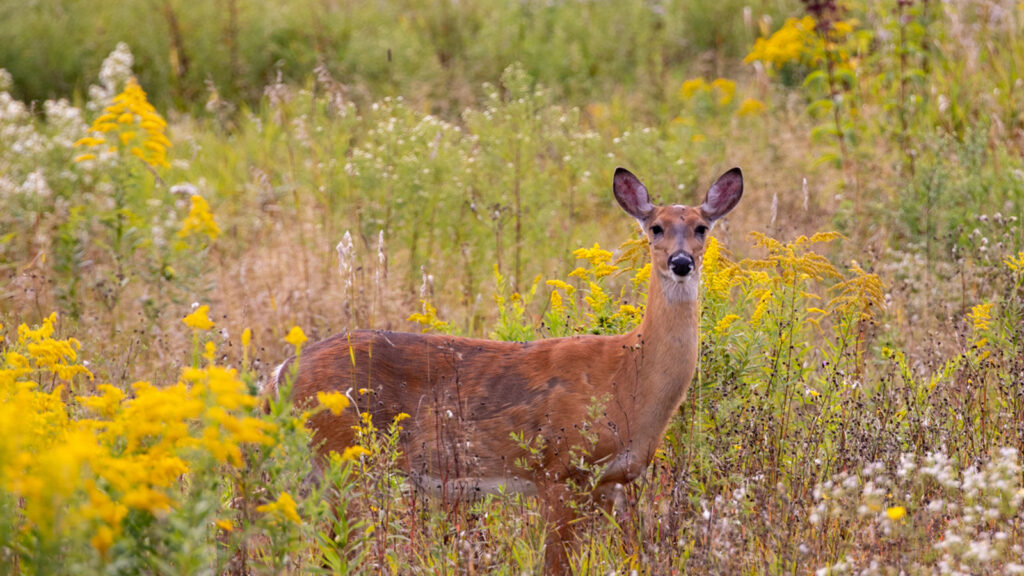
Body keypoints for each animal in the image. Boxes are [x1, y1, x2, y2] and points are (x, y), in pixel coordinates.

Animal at [276, 165, 745, 569]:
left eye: (701, 228)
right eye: (656, 227)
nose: (681, 262)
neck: (629, 376)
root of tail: (281, 375)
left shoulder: (613, 483)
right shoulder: (559, 469)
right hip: (346, 461)